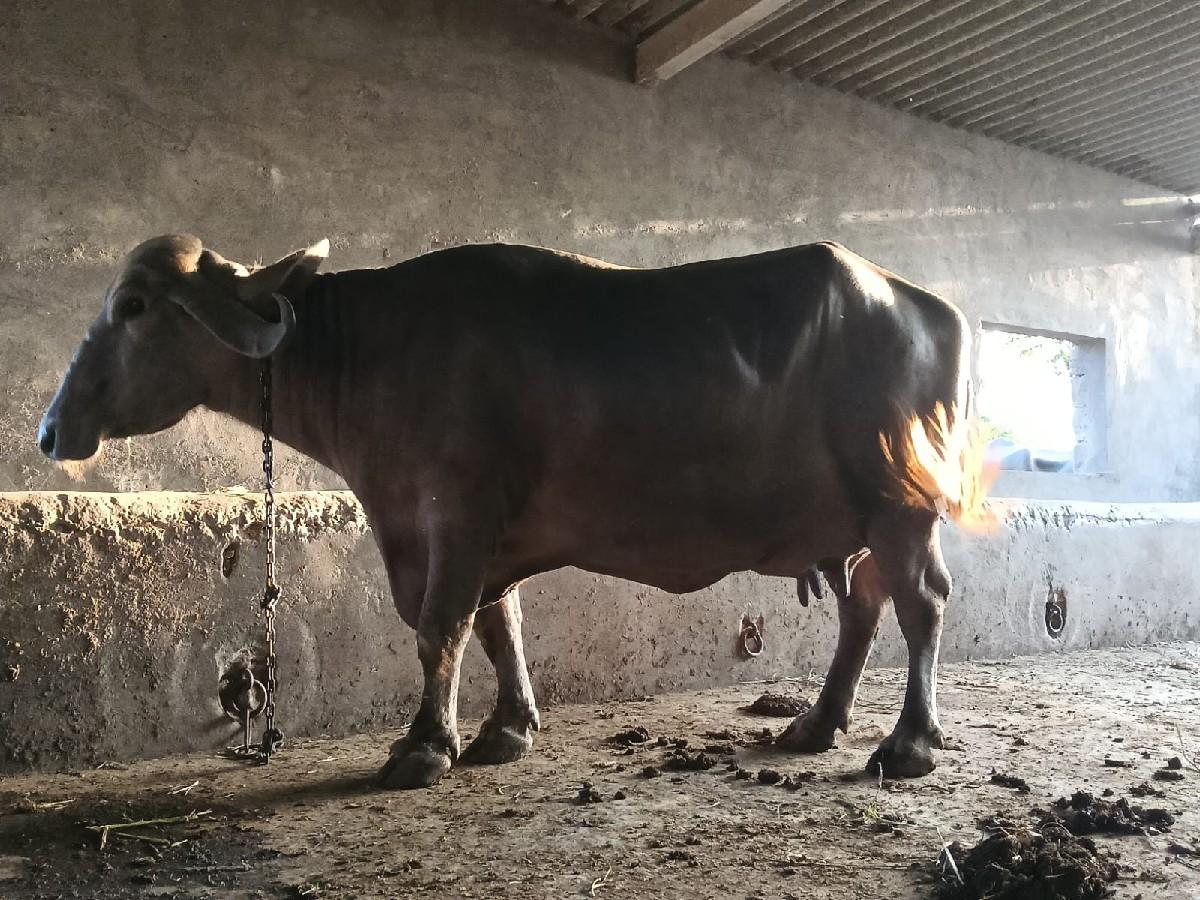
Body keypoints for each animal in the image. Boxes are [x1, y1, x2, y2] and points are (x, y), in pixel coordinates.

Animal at [37, 234, 989, 789]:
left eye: (131, 306)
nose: (50, 428)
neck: (371, 350)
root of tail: (928, 305)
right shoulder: (477, 532)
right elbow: (500, 622)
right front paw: (507, 727)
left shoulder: (453, 515)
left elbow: (440, 626)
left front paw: (425, 744)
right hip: (854, 524)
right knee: (865, 608)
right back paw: (817, 724)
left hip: (901, 510)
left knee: (921, 605)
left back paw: (908, 744)